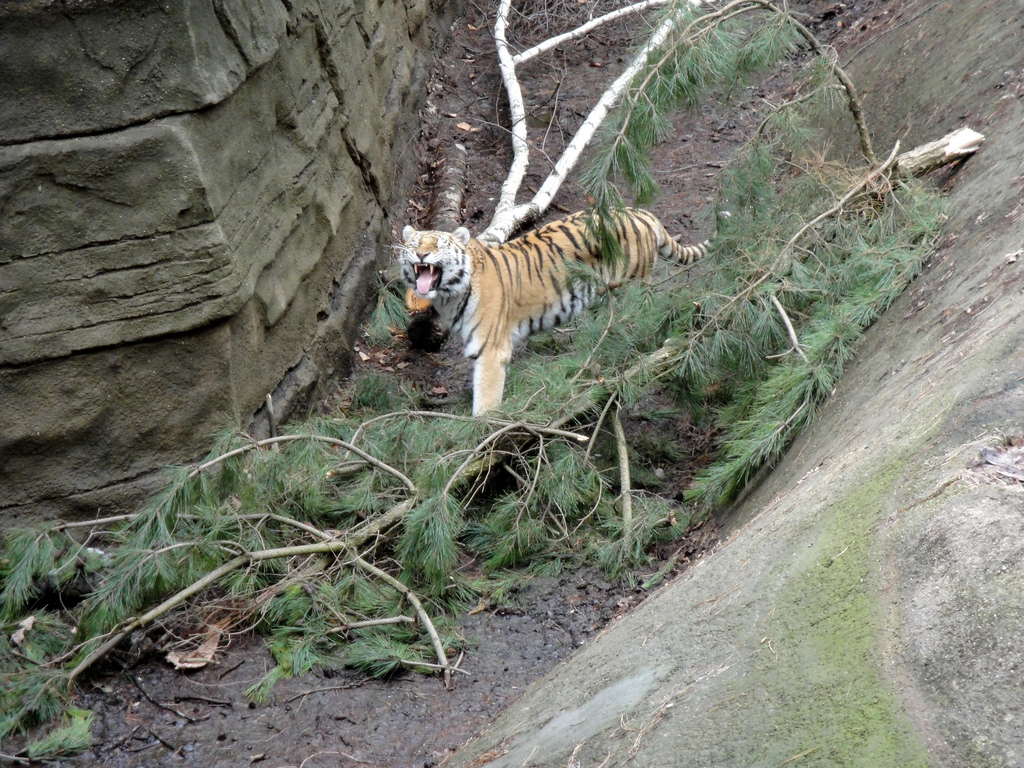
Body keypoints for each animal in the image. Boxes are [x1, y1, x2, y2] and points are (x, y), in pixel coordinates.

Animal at [399, 208, 710, 416]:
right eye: (414, 244)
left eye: (439, 244)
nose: (422, 255)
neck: (449, 296)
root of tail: (641, 212)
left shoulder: (491, 350)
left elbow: (486, 398)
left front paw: (482, 436)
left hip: (633, 287)